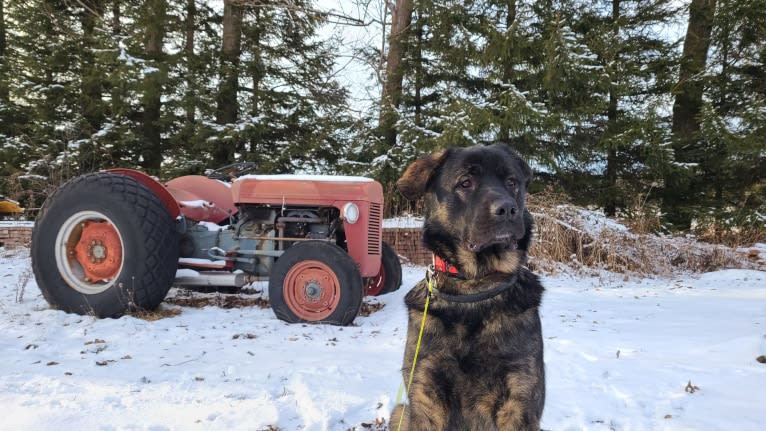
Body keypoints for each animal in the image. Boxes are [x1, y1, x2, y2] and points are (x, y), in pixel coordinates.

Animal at [390, 143, 544, 430]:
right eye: (465, 182)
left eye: (512, 182)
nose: (507, 209)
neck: (475, 288)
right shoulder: (426, 394)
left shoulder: (519, 399)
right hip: (400, 412)